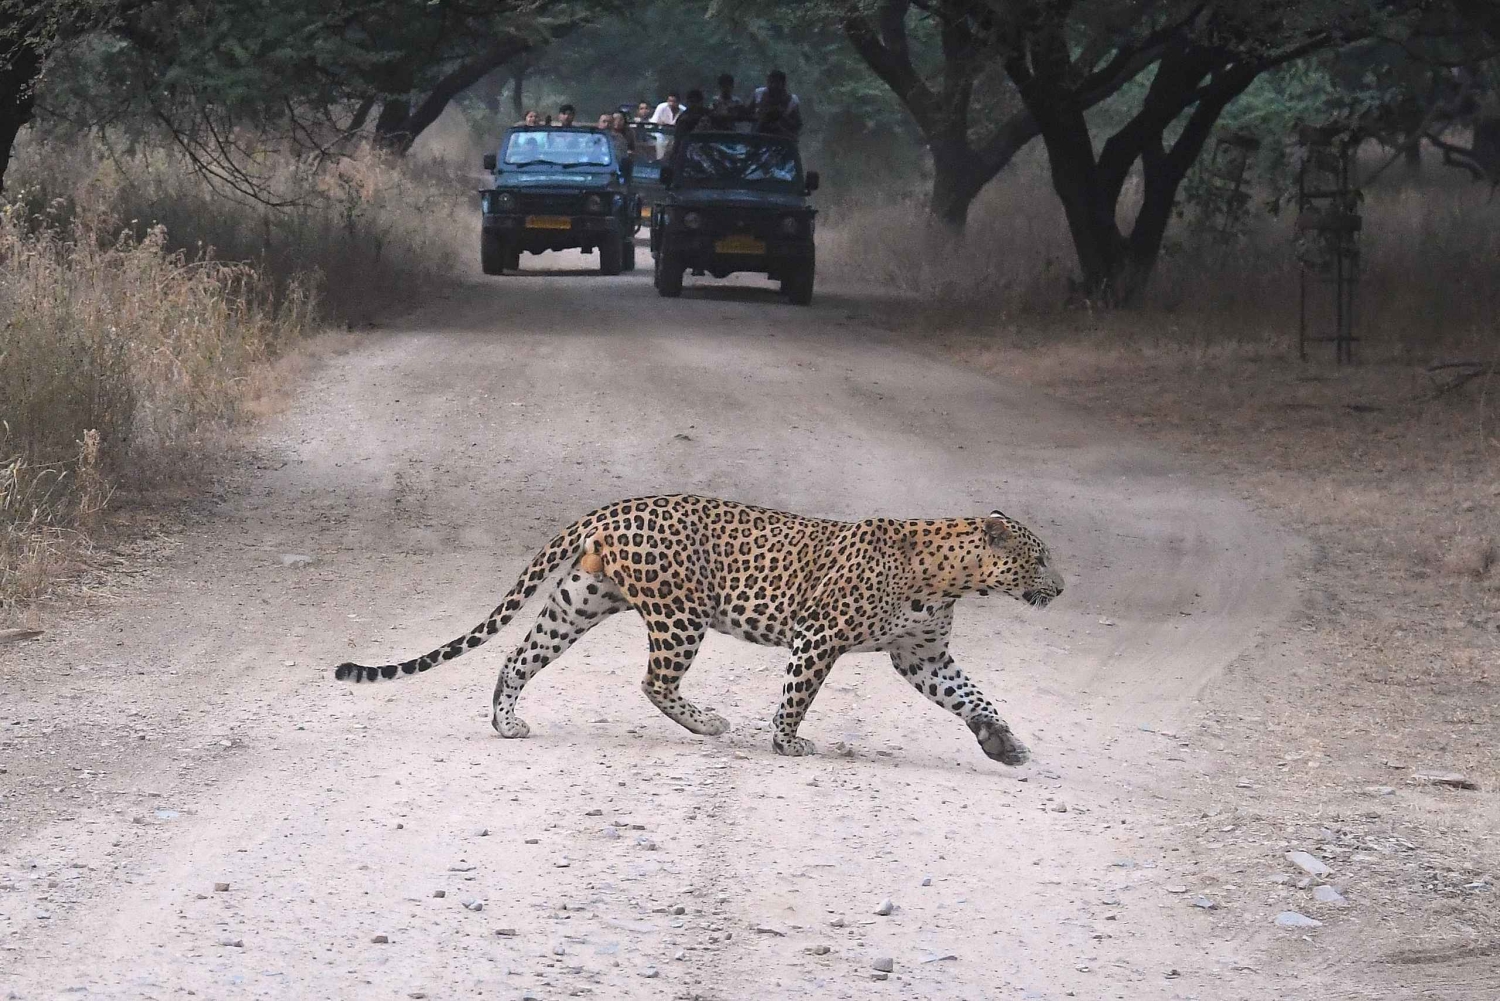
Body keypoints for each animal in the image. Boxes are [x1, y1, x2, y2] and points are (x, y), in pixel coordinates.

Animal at [334, 494, 1064, 764]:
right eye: (1040, 557)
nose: (1060, 588)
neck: (952, 576)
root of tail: (611, 508)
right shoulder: (820, 635)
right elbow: (797, 694)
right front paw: (787, 742)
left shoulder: (922, 657)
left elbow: (971, 695)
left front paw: (1002, 741)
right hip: (679, 613)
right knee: (653, 680)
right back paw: (709, 723)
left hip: (579, 600)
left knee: (517, 657)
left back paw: (506, 722)